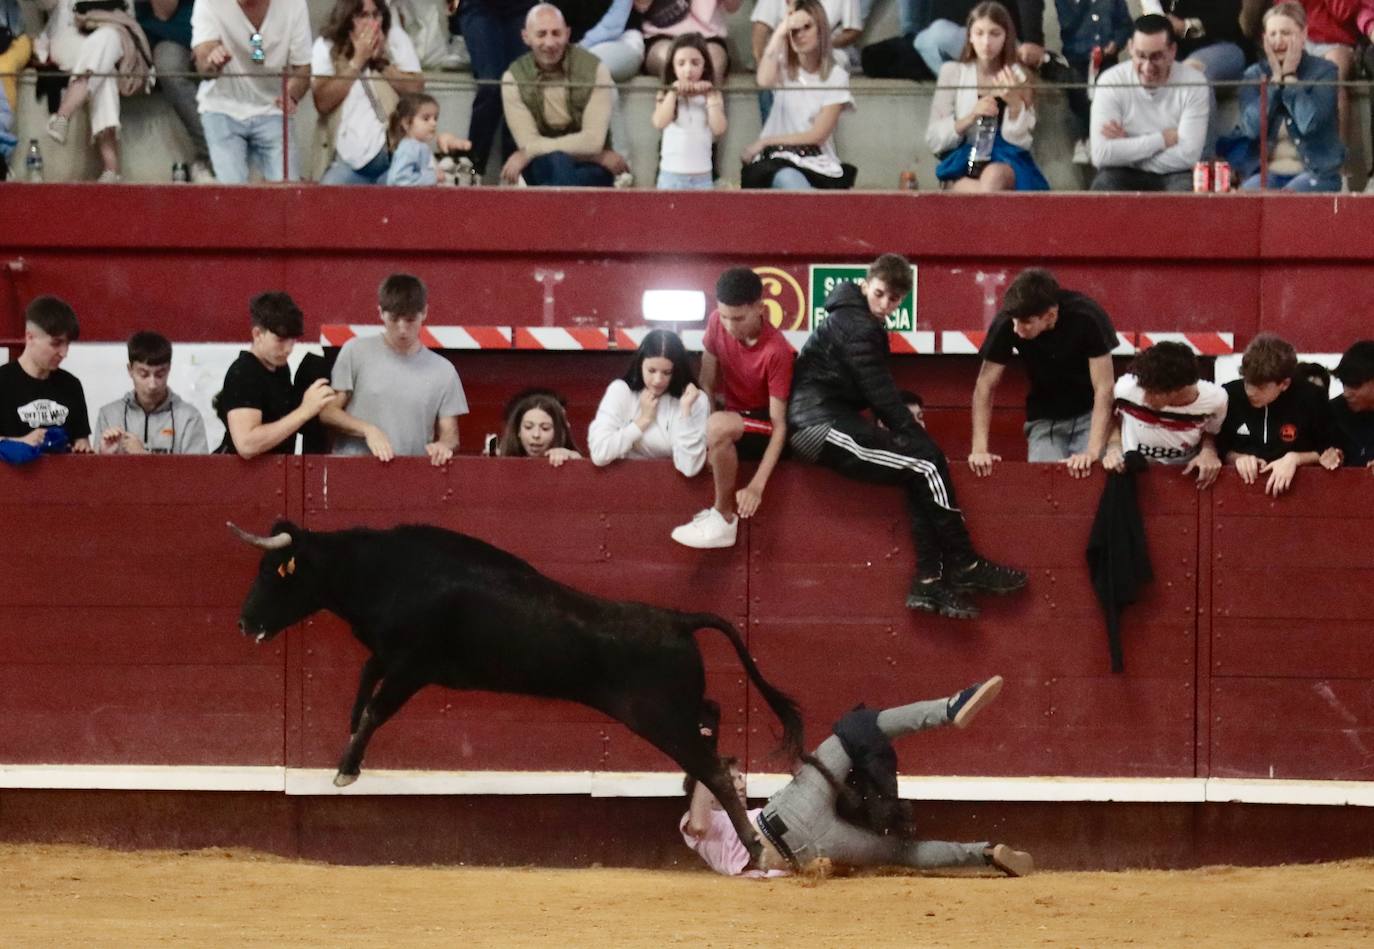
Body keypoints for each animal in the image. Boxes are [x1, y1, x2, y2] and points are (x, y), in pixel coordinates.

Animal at [229, 524, 802, 862]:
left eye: (275, 575)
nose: (244, 623)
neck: (384, 571)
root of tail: (679, 618)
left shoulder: (414, 666)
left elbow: (375, 707)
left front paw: (347, 770)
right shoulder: (391, 658)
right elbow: (363, 688)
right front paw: (346, 747)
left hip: (656, 716)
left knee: (714, 767)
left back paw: (753, 846)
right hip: (672, 710)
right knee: (712, 717)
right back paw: (698, 785)